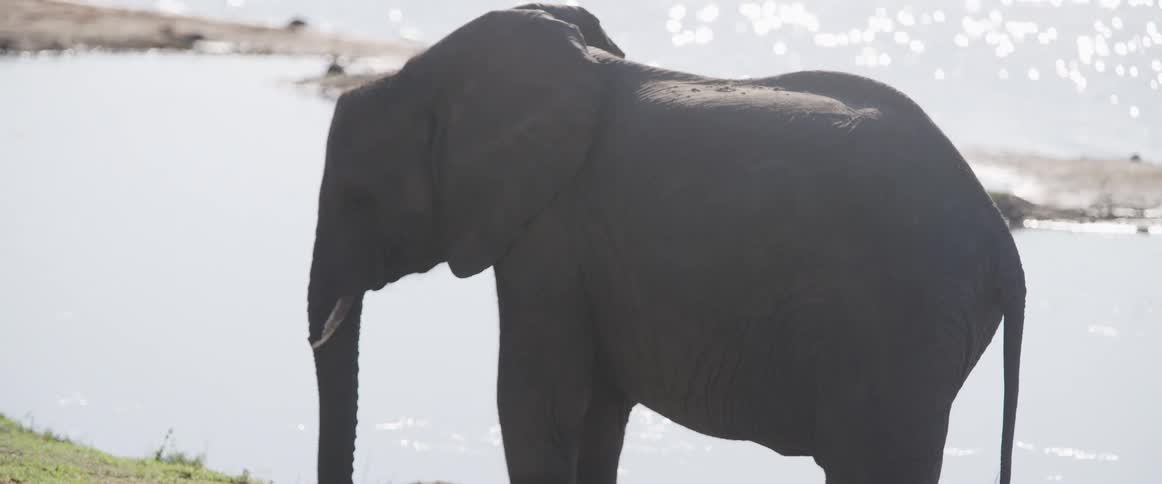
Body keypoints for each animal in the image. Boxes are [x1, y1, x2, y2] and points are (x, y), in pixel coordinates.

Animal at [305, 5, 1026, 484]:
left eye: (358, 199)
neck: (429, 72)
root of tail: (1001, 241)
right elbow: (597, 415)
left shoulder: (550, 236)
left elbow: (536, 405)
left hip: (898, 322)